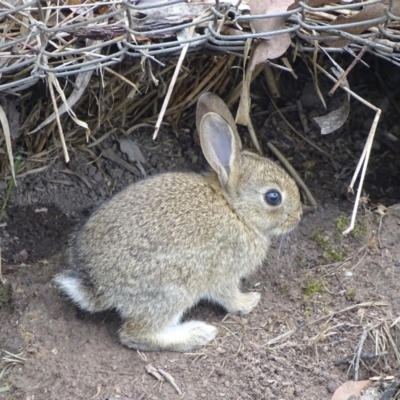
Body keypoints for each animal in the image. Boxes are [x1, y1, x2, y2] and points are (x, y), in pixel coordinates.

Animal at [54, 92, 304, 352]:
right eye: (273, 197)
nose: (298, 215)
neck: (235, 210)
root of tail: (98, 285)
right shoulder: (223, 272)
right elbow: (228, 296)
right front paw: (248, 302)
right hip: (175, 288)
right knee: (135, 333)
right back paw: (197, 333)